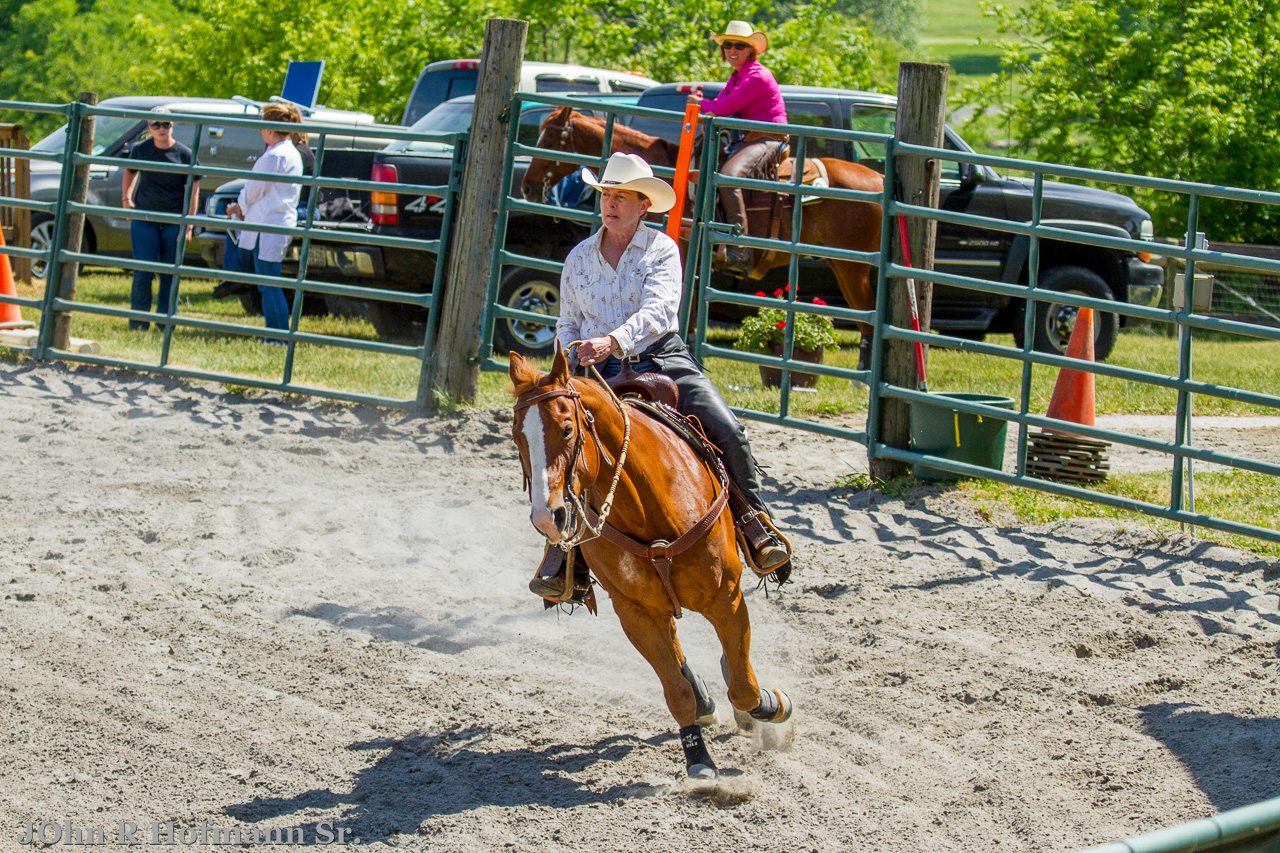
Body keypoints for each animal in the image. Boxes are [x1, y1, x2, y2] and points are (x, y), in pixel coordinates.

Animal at [509, 348, 793, 779]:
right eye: (517, 436)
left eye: (567, 429)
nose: (546, 517)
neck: (649, 503)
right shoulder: (636, 612)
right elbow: (676, 691)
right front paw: (699, 760)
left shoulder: (725, 597)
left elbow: (744, 686)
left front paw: (769, 704)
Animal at [523, 106, 884, 366]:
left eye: (551, 139)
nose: (528, 187)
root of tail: (878, 178)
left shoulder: (683, 251)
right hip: (841, 264)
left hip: (851, 267)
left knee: (867, 314)